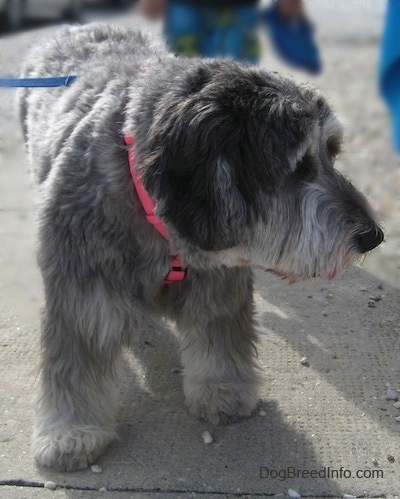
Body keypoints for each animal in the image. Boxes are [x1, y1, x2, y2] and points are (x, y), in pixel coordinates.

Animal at [18, 23, 384, 470]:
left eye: (330, 152)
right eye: (299, 166)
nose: (373, 236)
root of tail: (78, 26)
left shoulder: (217, 281)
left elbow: (219, 338)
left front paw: (222, 391)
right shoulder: (83, 295)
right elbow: (75, 365)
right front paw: (71, 432)